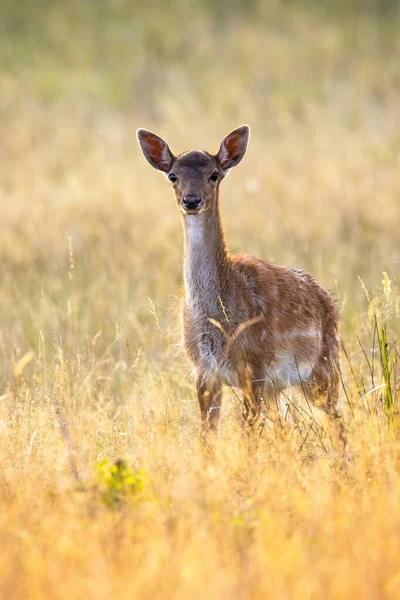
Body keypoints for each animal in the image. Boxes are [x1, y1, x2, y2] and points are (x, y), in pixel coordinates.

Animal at [137, 126, 344, 446]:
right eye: (173, 175)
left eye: (213, 174)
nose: (192, 200)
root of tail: (330, 301)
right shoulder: (203, 370)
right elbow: (207, 438)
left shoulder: (253, 367)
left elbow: (247, 440)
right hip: (279, 386)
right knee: (286, 427)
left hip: (324, 368)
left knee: (340, 424)